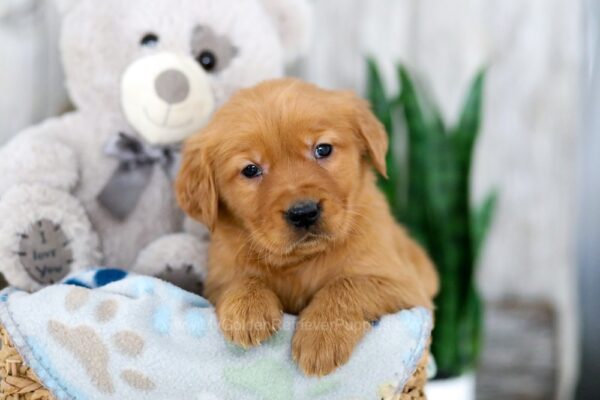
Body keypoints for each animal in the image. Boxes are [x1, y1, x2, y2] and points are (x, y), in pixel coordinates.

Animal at [176, 77, 438, 376]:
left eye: (322, 149)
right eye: (251, 170)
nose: (303, 213)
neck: (302, 261)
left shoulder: (407, 288)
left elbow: (349, 284)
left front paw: (321, 339)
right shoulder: (217, 279)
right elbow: (240, 279)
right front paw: (247, 308)